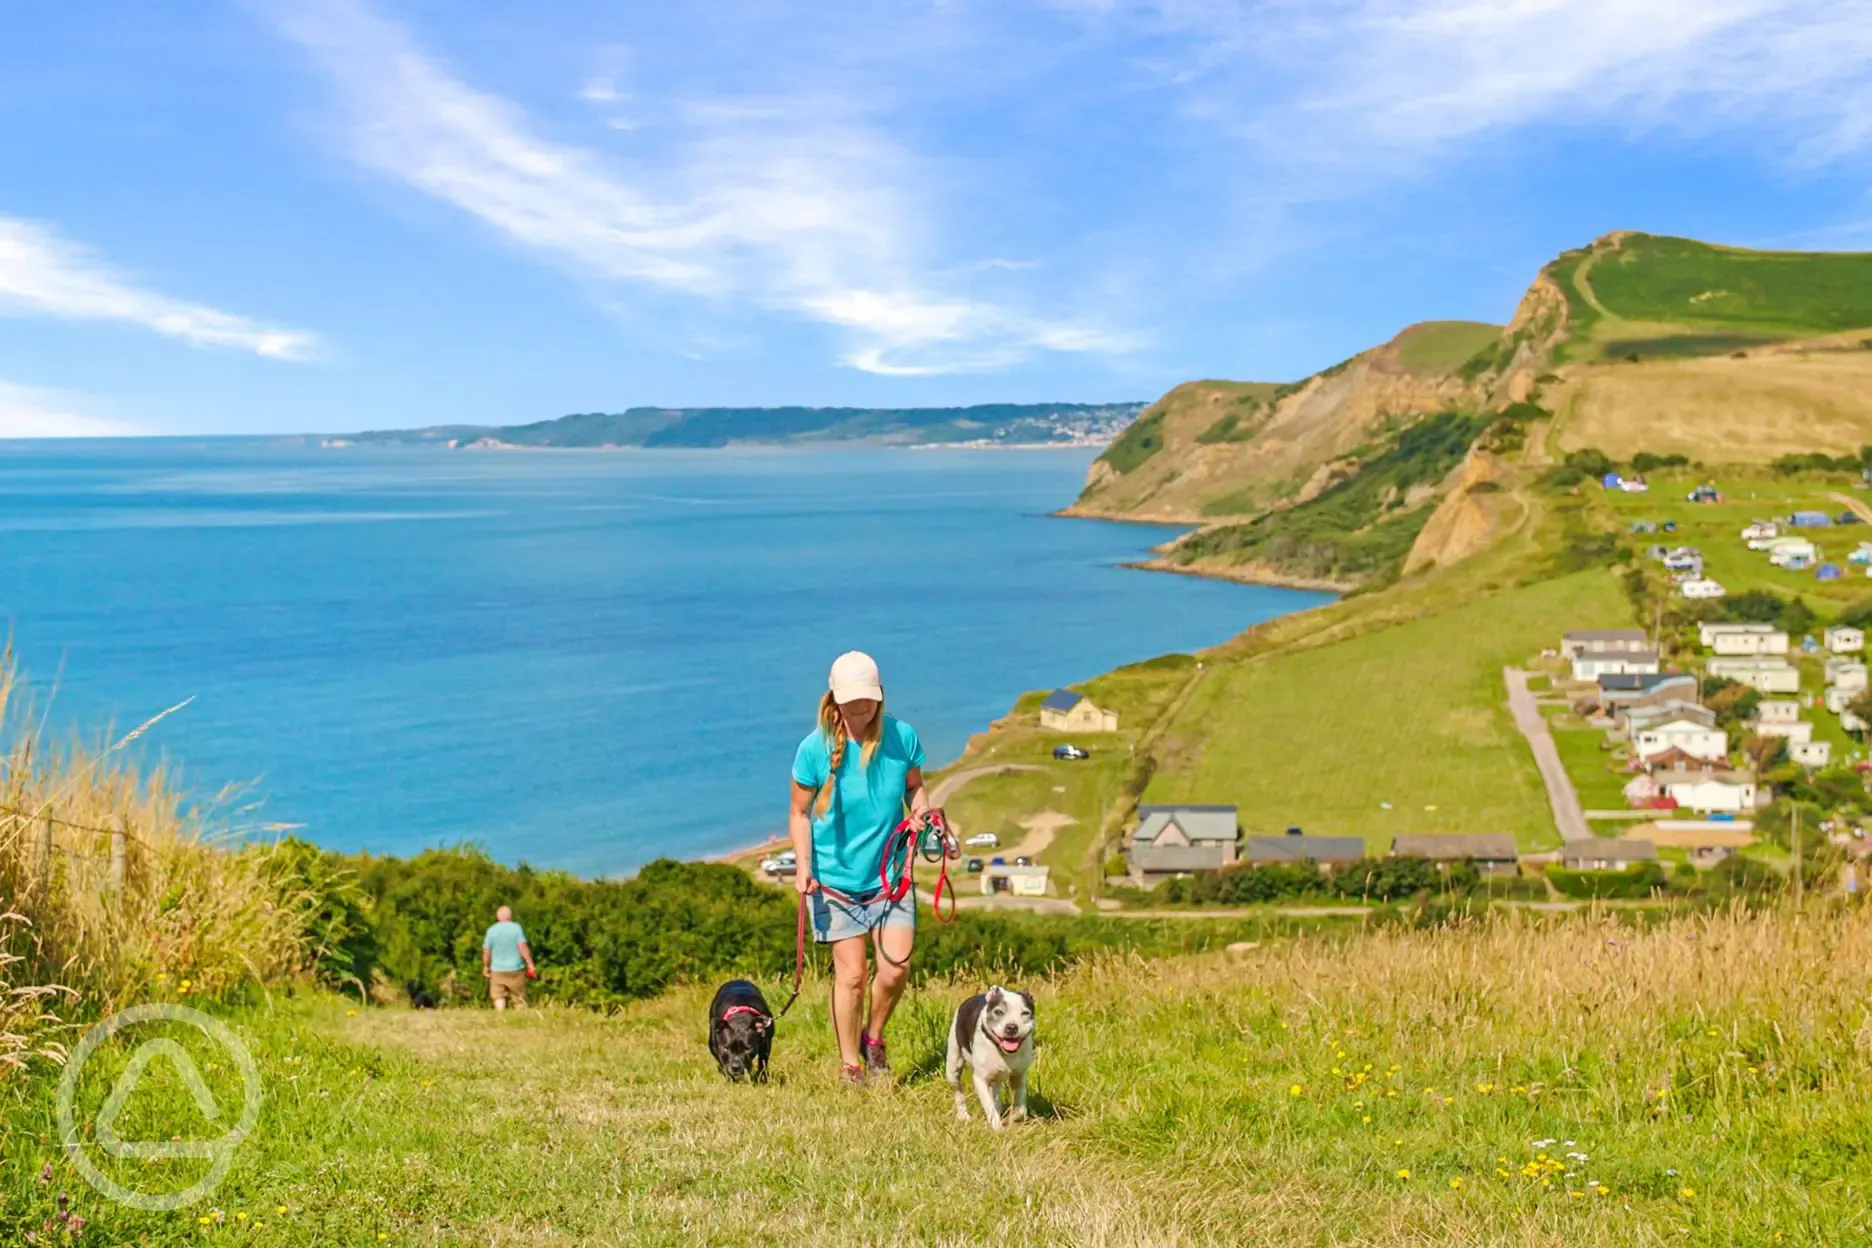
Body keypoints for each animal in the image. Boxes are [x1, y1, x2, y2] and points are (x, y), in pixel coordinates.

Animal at [950, 987, 1040, 1130]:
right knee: (958, 1090)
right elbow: (989, 1106)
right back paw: (963, 1116)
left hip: (996, 1078)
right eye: (998, 1011)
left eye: (1025, 1013)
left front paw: (1009, 1119)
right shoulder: (980, 1079)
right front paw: (998, 1129)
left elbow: (1021, 1109)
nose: (1012, 1027)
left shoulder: (1019, 1076)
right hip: (953, 1067)